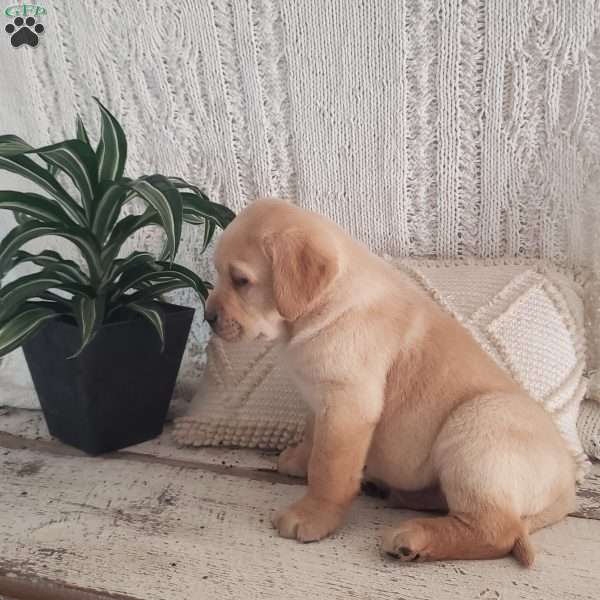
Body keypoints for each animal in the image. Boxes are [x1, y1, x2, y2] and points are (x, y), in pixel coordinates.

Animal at [206, 199, 576, 564]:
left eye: (240, 280)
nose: (208, 317)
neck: (322, 306)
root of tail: (567, 489)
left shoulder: (347, 406)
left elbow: (329, 469)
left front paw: (312, 516)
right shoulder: (321, 398)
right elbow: (313, 437)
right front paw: (299, 461)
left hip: (475, 428)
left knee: (495, 529)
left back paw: (413, 537)